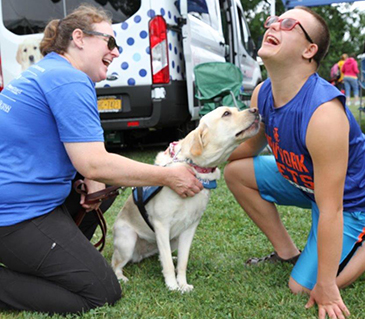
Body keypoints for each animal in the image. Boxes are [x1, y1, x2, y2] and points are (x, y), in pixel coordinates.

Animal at [111, 107, 258, 292]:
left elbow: (183, 261)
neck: (194, 167)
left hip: (171, 241)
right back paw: (121, 276)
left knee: (162, 254)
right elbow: (166, 263)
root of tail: (139, 255)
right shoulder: (161, 225)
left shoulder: (190, 227)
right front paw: (172, 286)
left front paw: (183, 283)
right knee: (115, 263)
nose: (256, 110)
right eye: (226, 114)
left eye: (236, 109)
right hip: (127, 241)